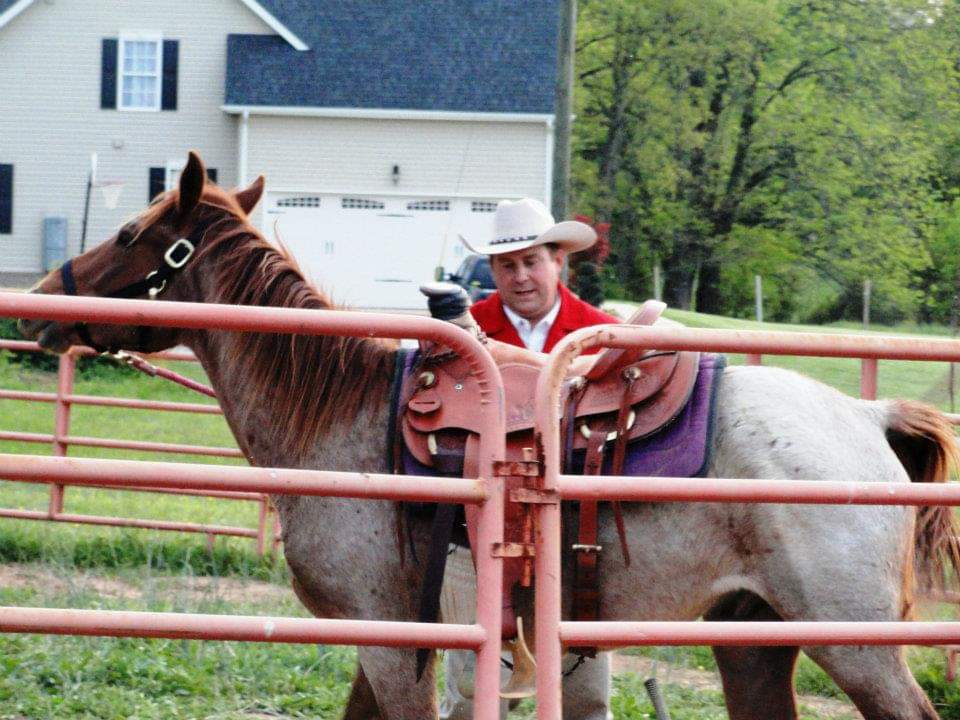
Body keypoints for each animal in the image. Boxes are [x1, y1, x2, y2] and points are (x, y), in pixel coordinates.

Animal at [18, 151, 960, 720]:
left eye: (132, 233)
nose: (43, 302)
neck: (341, 417)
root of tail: (866, 418)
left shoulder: (395, 640)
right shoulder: (385, 641)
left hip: (854, 644)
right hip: (756, 640)